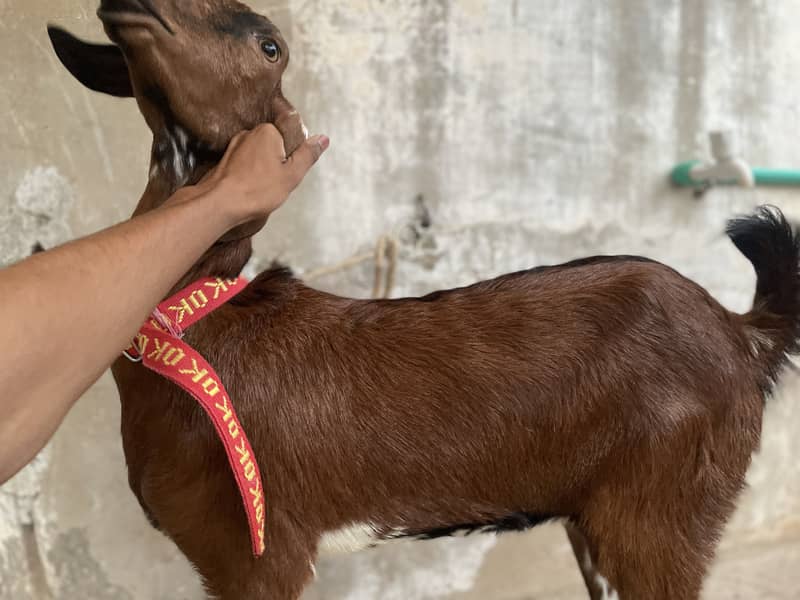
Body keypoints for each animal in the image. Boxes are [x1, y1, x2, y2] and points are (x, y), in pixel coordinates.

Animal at [48, 1, 799, 598]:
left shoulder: (259, 548)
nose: (132, 4)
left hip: (662, 509)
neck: (195, 326)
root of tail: (745, 332)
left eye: (269, 44)